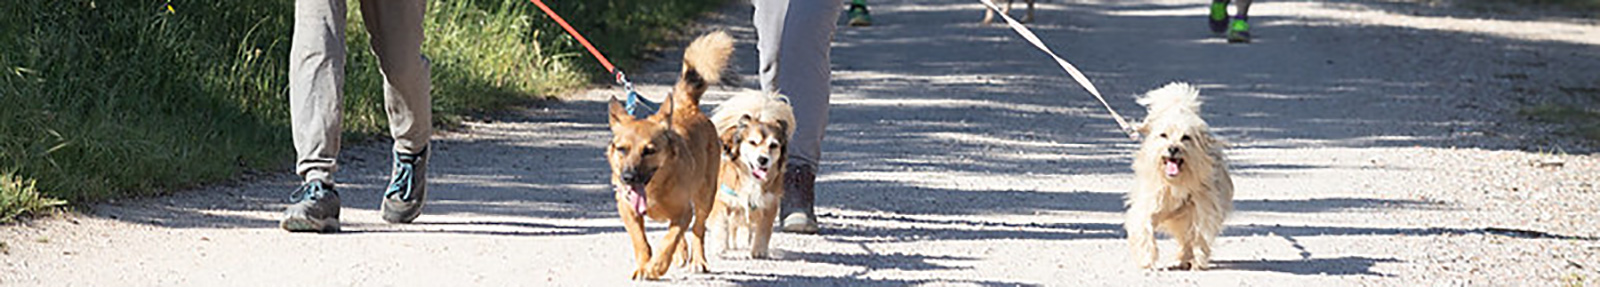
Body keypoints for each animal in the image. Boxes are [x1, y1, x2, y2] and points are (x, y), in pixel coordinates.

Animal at [608, 31, 732, 280]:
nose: (628, 177)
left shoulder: (684, 211)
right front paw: (644, 265)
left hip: (705, 196)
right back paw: (681, 255)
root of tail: (688, 107)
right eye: (622, 149)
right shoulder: (627, 210)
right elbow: (641, 241)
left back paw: (698, 260)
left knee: (697, 229)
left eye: (649, 150)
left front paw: (656, 266)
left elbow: (670, 239)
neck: (653, 188)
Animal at [707, 92, 793, 259]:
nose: (762, 159)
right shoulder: (722, 198)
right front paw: (719, 246)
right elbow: (721, 223)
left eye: (773, 145)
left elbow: (764, 228)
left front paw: (759, 250)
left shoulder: (769, 203)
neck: (751, 179)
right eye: (753, 142)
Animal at [1126, 81, 1235, 270]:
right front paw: (1147, 259)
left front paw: (1196, 260)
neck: (1175, 183)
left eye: (1186, 137)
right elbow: (1145, 229)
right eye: (1163, 135)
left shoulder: (1201, 209)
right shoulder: (1149, 203)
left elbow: (1197, 235)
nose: (1172, 148)